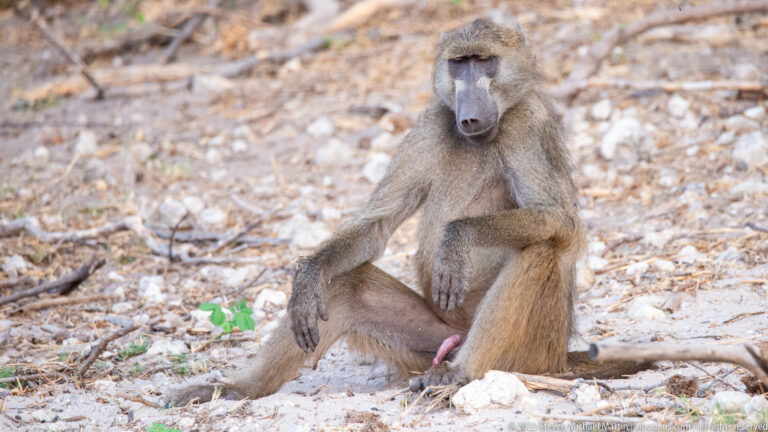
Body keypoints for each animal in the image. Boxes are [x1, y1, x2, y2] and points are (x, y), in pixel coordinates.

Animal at [168, 18, 648, 404]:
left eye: (484, 61)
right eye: (459, 64)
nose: (469, 112)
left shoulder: (527, 123)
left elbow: (560, 221)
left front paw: (457, 239)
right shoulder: (429, 124)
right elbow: (376, 224)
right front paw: (304, 278)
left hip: (532, 351)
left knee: (538, 250)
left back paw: (460, 375)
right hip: (430, 339)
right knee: (346, 284)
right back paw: (239, 388)